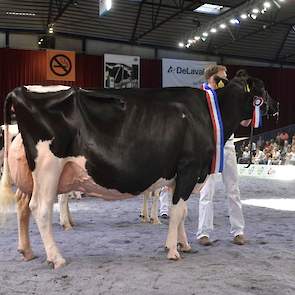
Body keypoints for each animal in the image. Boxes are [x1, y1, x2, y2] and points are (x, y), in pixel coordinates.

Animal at [0, 75, 268, 270]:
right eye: (262, 91)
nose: (274, 106)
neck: (206, 111)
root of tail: (20, 90)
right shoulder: (190, 167)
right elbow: (177, 211)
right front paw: (173, 250)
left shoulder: (179, 176)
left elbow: (180, 212)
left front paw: (183, 244)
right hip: (48, 167)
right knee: (40, 208)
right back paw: (56, 257)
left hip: (34, 174)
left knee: (23, 206)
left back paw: (27, 251)